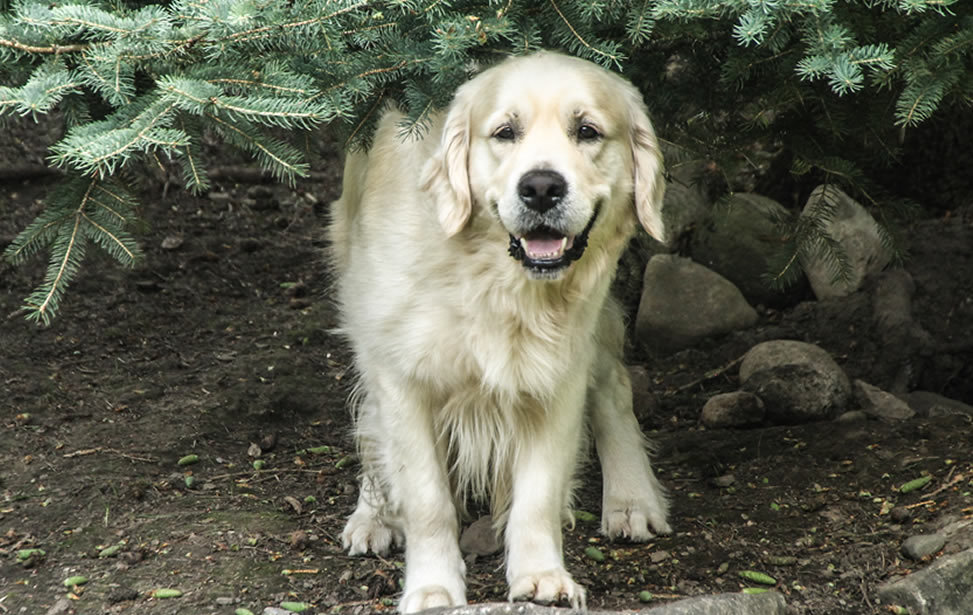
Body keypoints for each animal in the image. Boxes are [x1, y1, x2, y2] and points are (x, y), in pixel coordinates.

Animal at [329, 51, 671, 613]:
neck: (489, 279)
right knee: (368, 420)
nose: (541, 187)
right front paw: (432, 587)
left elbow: (537, 495)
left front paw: (542, 576)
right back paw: (373, 514)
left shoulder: (556, 379)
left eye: (587, 130)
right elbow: (426, 499)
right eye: (505, 132)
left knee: (614, 387)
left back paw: (630, 499)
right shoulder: (400, 377)